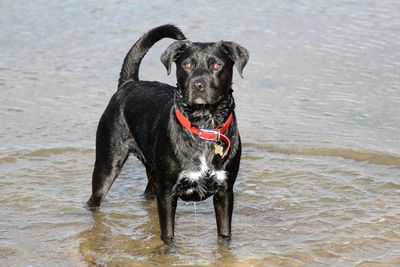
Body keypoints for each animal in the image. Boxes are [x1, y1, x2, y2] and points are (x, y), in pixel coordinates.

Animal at [88, 24, 247, 245]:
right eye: (187, 64)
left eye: (216, 64)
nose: (198, 84)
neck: (203, 125)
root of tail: (129, 84)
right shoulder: (167, 193)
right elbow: (168, 235)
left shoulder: (225, 191)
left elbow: (224, 234)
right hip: (107, 165)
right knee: (95, 198)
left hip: (153, 173)